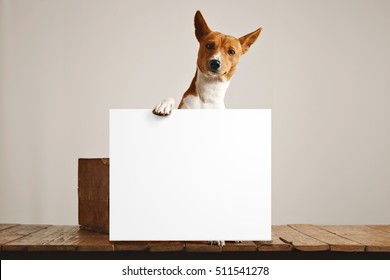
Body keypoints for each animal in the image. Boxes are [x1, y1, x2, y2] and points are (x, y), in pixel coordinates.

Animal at [152, 11, 262, 247]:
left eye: (231, 51)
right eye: (209, 45)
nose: (215, 63)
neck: (208, 98)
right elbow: (171, 99)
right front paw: (164, 105)